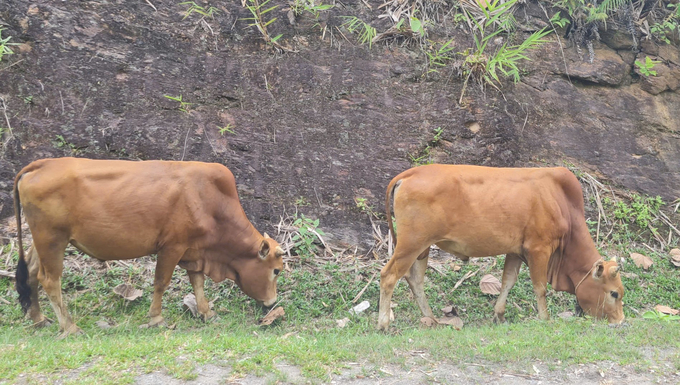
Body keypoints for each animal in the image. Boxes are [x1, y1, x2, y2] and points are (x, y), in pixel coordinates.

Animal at [13, 157, 284, 336]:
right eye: (276, 270)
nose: (272, 302)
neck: (210, 201)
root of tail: (41, 164)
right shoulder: (172, 247)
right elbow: (161, 283)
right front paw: (156, 318)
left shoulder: (194, 251)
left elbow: (198, 283)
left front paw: (207, 313)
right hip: (53, 240)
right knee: (50, 281)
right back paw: (69, 326)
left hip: (42, 241)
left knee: (32, 273)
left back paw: (39, 318)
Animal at [380, 164, 624, 328]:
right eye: (614, 294)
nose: (620, 321)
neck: (561, 202)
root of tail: (409, 173)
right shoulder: (539, 249)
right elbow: (540, 287)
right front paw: (544, 319)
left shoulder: (516, 251)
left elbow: (508, 282)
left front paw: (499, 315)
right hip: (411, 244)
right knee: (388, 276)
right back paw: (384, 324)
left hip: (422, 248)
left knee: (415, 280)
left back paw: (431, 319)